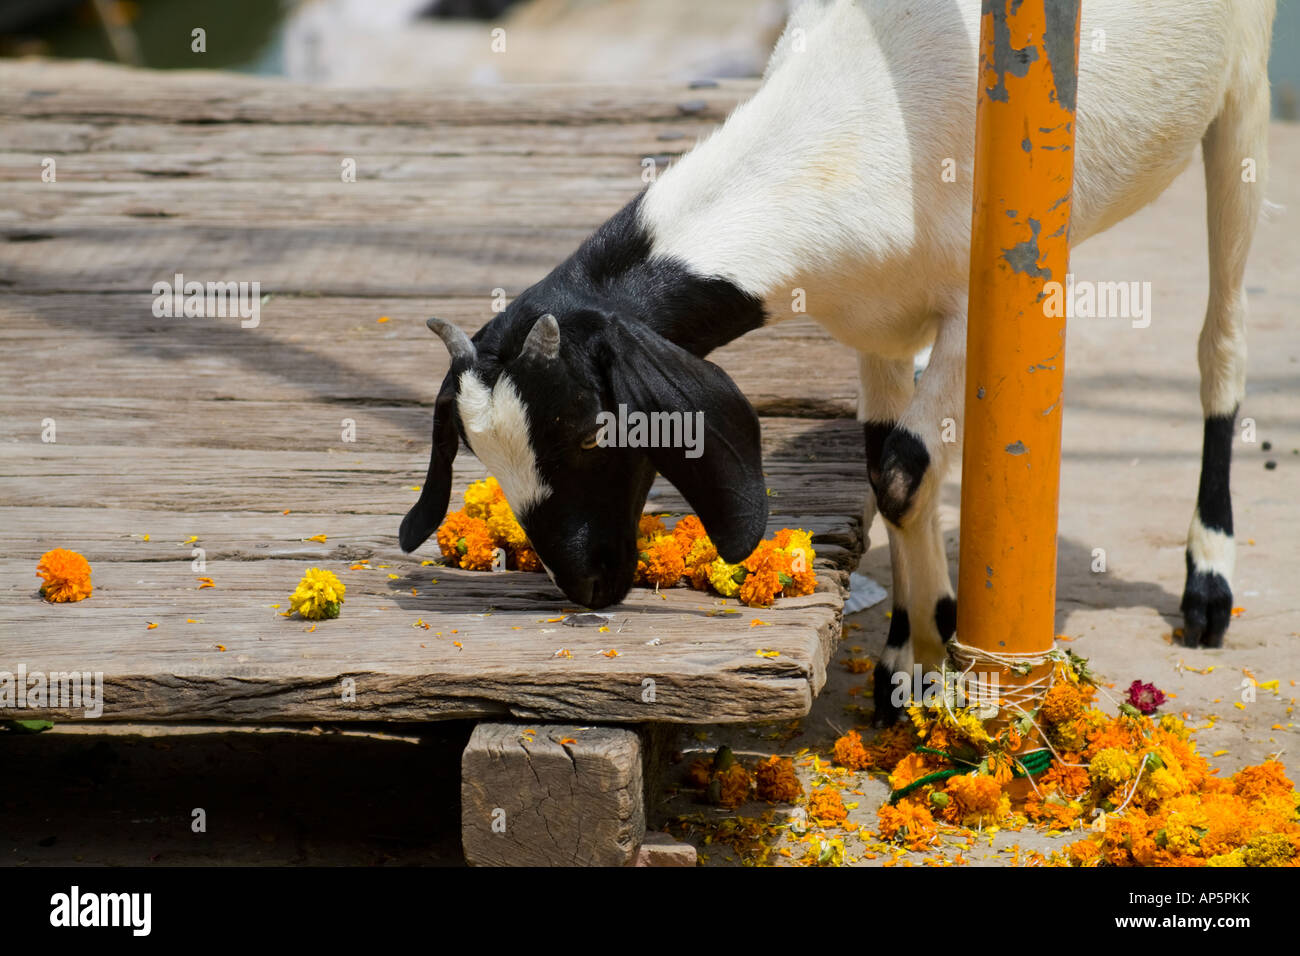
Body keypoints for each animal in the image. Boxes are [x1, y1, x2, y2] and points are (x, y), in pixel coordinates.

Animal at [402, 0, 1275, 721]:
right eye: (480, 451)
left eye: (589, 432)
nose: (585, 582)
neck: (857, 121)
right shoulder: (876, 326)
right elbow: (895, 477)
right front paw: (908, 664)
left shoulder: (977, 310)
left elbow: (902, 469)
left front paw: (941, 659)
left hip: (1244, 91)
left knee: (1224, 337)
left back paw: (1208, 584)